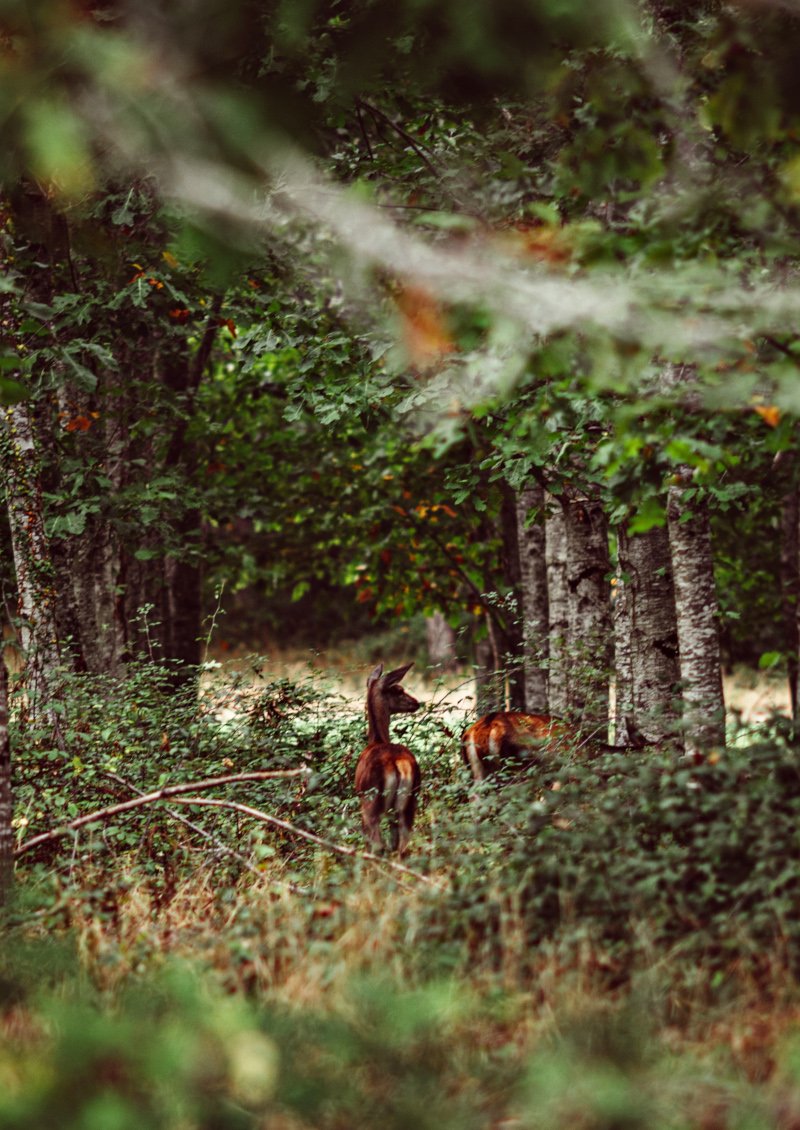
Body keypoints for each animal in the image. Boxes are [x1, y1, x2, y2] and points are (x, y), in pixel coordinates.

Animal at [352, 659, 422, 854]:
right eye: (398, 690)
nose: (416, 702)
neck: (376, 740)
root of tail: (400, 764)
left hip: (370, 801)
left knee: (377, 845)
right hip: (409, 801)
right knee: (402, 846)